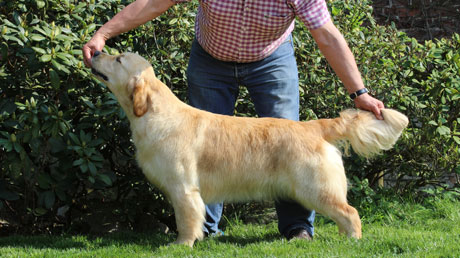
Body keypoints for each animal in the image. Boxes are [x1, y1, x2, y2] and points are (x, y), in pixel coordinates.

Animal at [91, 51, 408, 247]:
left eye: (118, 58)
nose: (94, 53)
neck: (155, 113)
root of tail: (313, 126)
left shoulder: (183, 188)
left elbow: (186, 220)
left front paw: (181, 245)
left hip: (315, 188)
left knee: (350, 212)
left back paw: (352, 241)